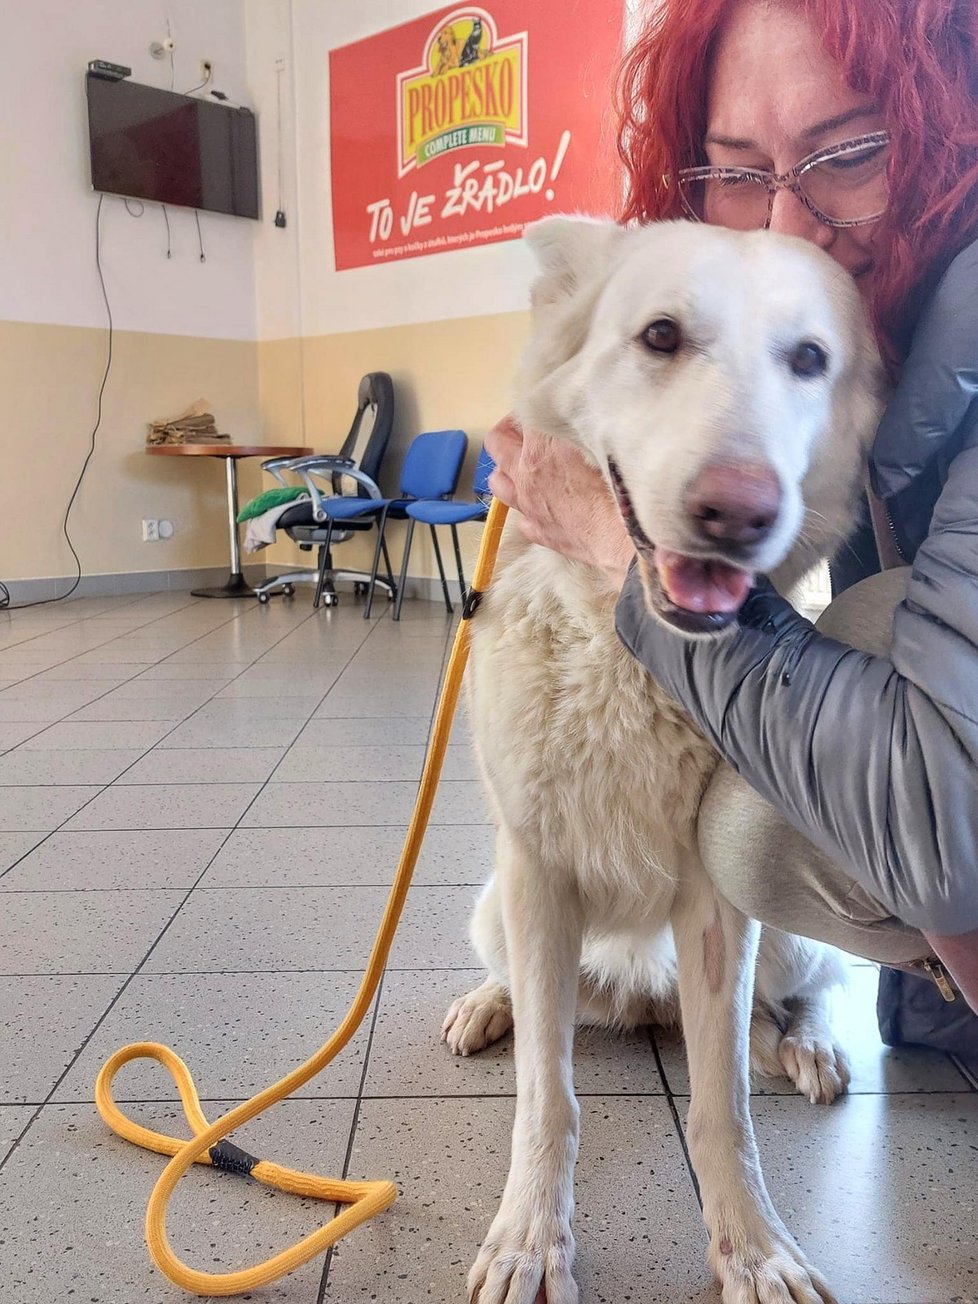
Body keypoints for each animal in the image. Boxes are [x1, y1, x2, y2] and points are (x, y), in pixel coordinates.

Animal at [443, 221, 886, 1304]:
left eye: (808, 359)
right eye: (659, 335)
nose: (739, 511)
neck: (629, 649)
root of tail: (645, 1003)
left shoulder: (717, 912)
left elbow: (723, 1110)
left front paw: (755, 1250)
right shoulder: (537, 876)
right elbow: (547, 1099)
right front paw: (531, 1237)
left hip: (779, 926)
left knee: (794, 1000)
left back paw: (807, 1041)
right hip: (498, 907)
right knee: (528, 994)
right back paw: (489, 1003)